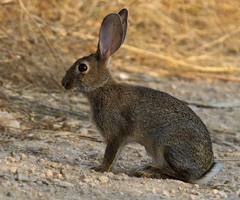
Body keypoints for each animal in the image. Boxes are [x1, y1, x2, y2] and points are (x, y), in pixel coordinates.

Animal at [61, 9, 222, 184]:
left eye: (82, 67)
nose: (64, 83)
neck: (102, 87)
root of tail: (202, 172)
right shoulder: (121, 140)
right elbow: (116, 155)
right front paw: (105, 168)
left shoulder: (116, 134)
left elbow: (110, 155)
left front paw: (101, 169)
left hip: (166, 145)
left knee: (182, 175)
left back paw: (148, 171)